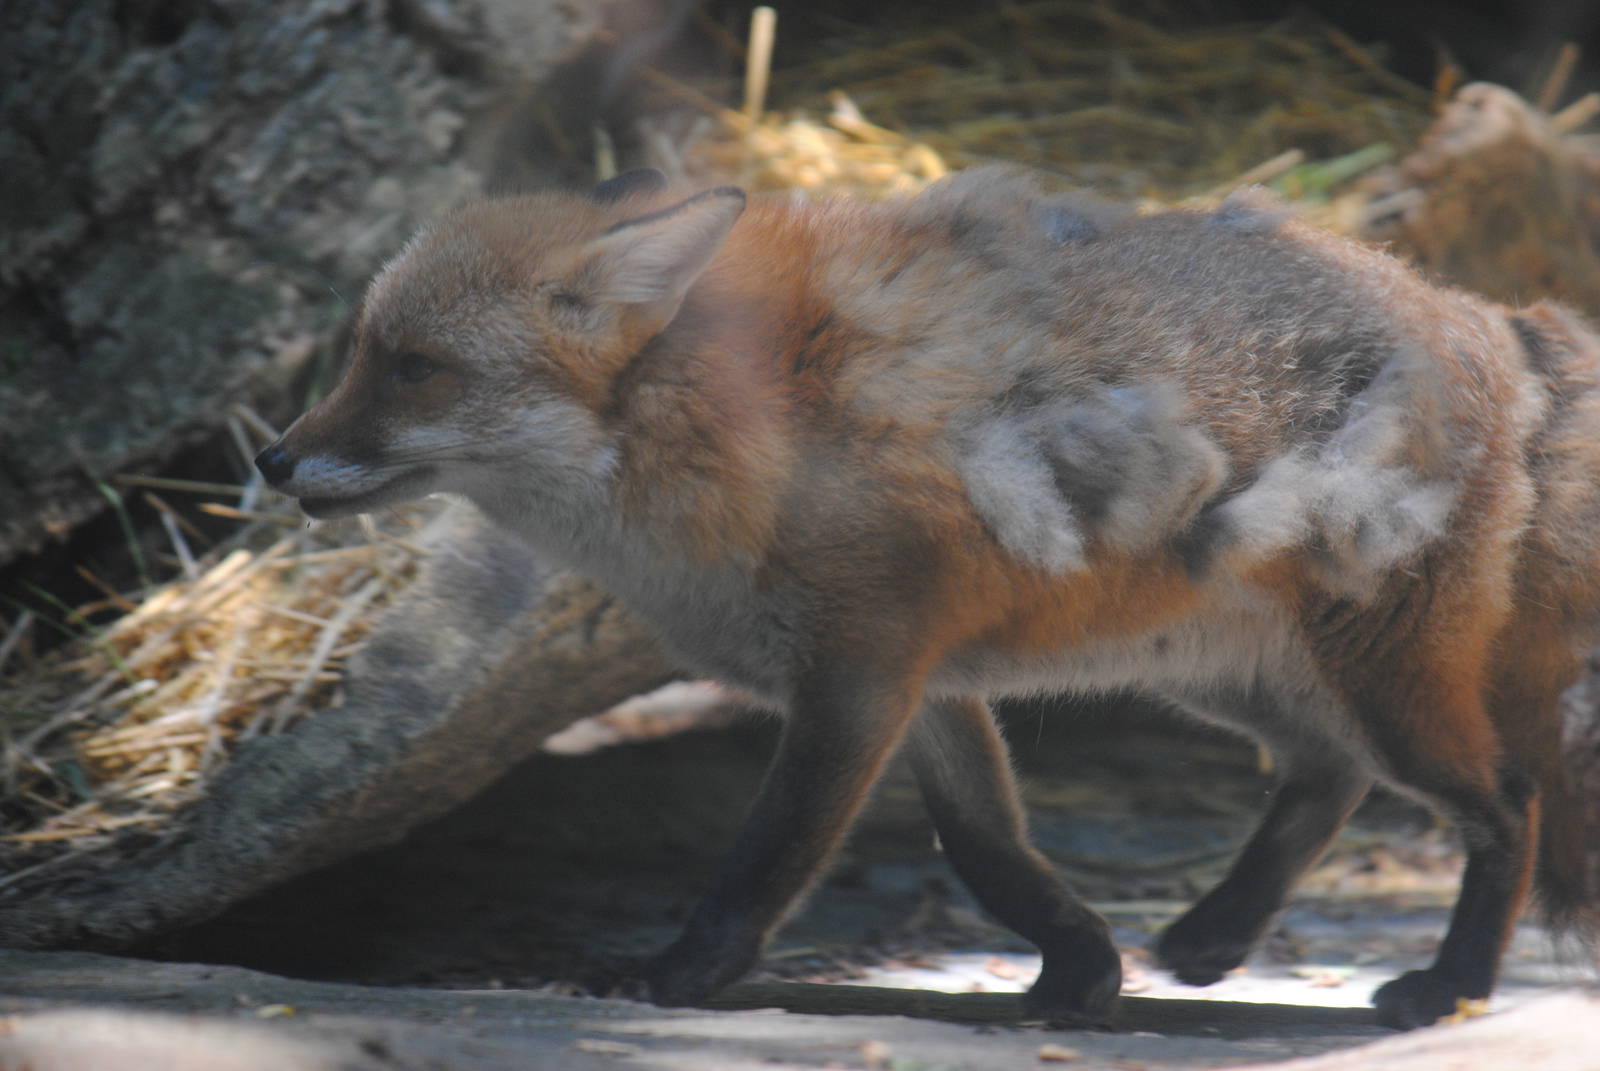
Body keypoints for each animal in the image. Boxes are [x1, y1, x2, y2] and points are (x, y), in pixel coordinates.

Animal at [256, 165, 1600, 1029]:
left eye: (415, 369)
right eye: (363, 355)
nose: (268, 459)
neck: (738, 425)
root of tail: (1487, 314)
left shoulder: (857, 676)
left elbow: (769, 852)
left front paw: (678, 981)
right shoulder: (926, 683)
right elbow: (988, 851)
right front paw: (1078, 973)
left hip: (1376, 685)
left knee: (1508, 804)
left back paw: (1450, 987)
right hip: (1234, 681)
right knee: (1327, 778)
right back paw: (1214, 936)